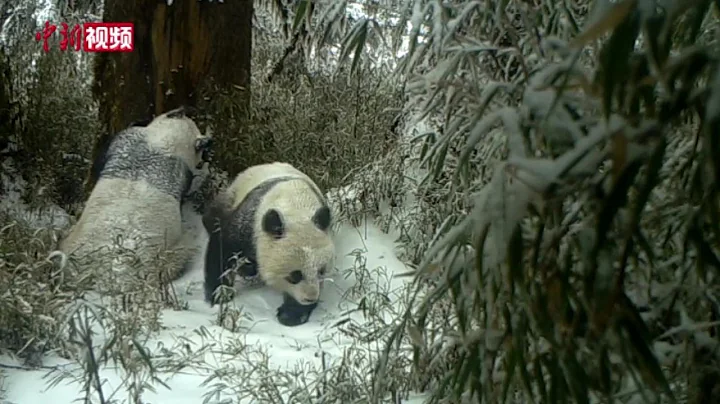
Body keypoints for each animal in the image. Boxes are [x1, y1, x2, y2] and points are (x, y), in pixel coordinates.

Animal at [201, 161, 336, 326]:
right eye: (295, 275)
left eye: (321, 271)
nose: (310, 298)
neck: (295, 206)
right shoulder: (249, 221)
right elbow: (223, 249)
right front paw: (220, 294)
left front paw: (291, 314)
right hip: (233, 194)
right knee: (214, 216)